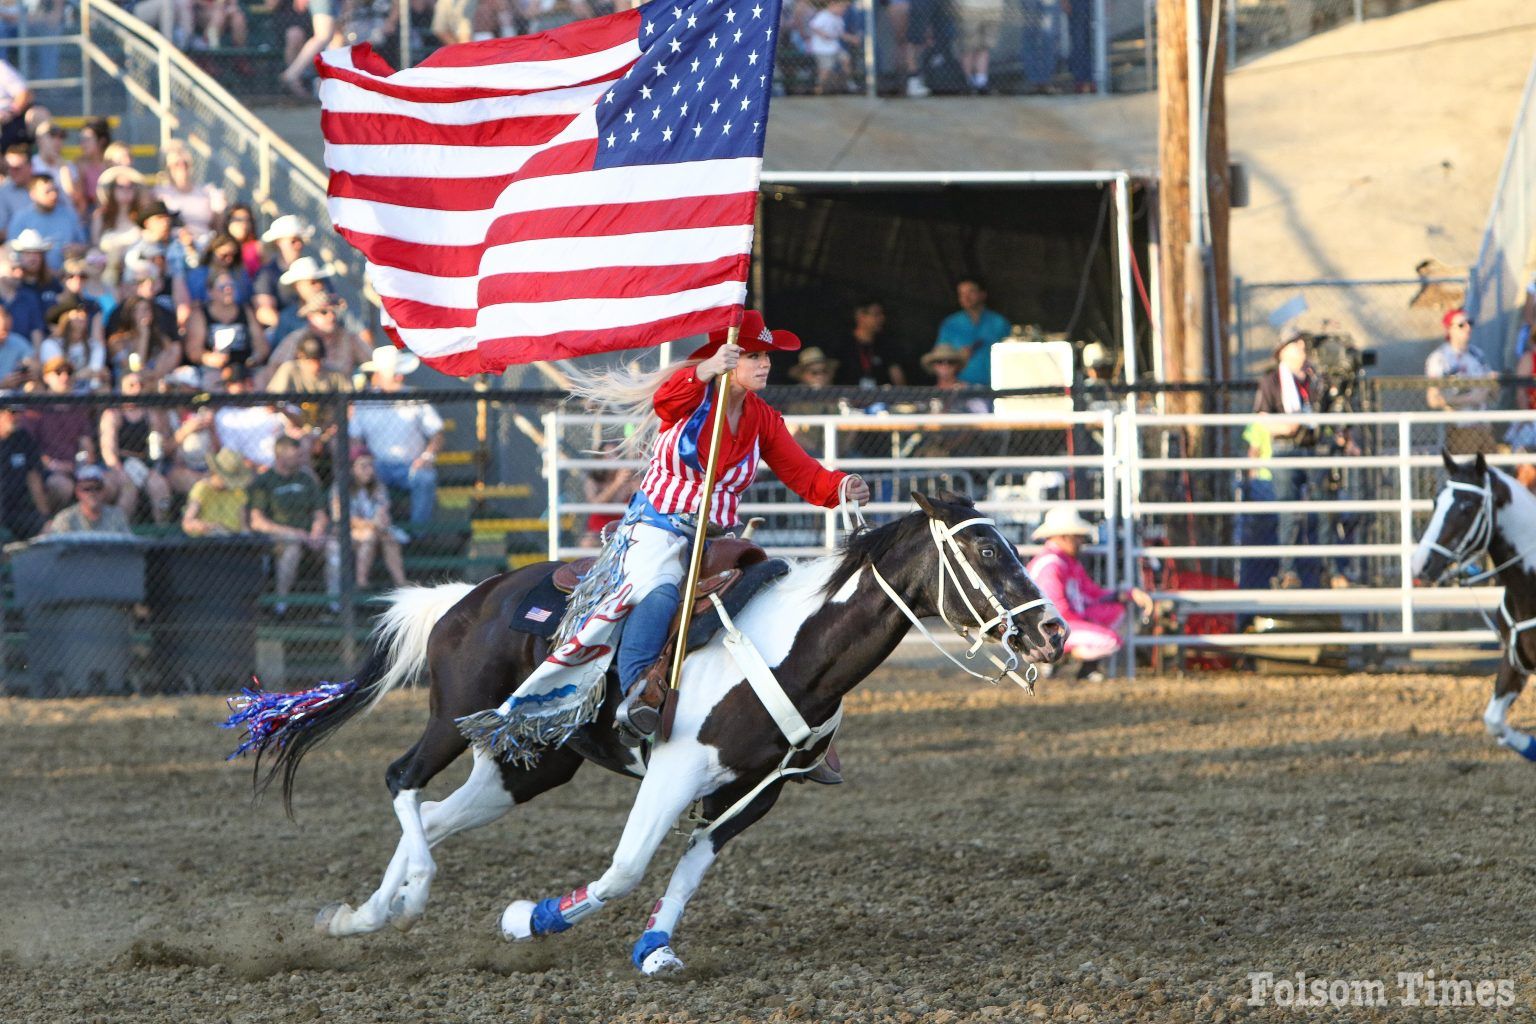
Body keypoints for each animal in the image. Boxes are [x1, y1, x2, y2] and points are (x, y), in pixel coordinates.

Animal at [230, 497, 1069, 976]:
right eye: (986, 551)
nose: (1053, 633)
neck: (793, 648)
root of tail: (464, 597)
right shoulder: (673, 771)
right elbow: (627, 869)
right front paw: (526, 918)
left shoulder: (753, 793)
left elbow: (689, 868)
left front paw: (654, 947)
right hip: (453, 720)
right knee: (401, 781)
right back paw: (403, 902)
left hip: (527, 767)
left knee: (433, 817)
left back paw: (368, 914)